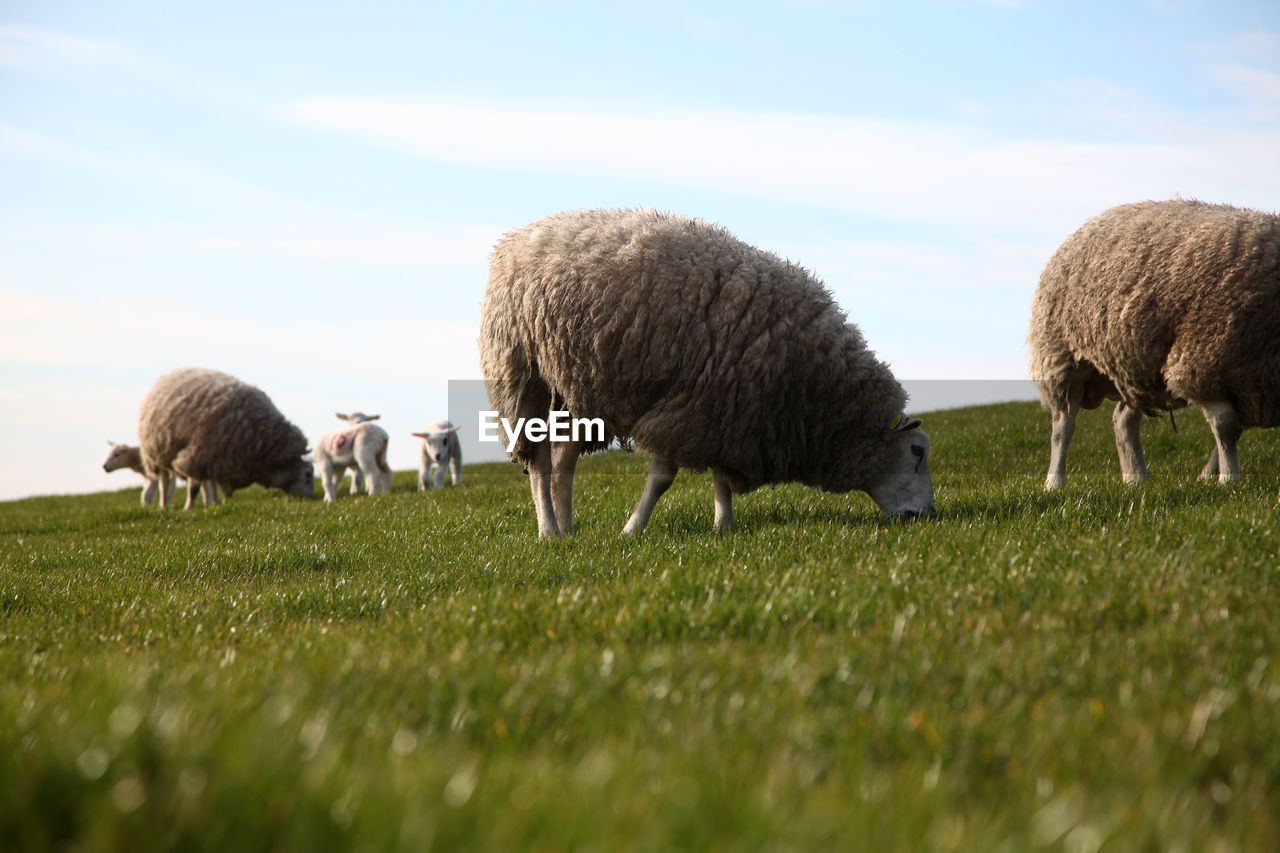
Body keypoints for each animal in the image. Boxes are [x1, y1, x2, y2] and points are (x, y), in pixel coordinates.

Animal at [136, 366, 314, 504]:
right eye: (307, 474)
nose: (310, 497)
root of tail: (171, 373)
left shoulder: (215, 459)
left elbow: (210, 485)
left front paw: (215, 504)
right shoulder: (195, 456)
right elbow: (193, 488)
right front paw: (190, 508)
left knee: (206, 483)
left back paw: (208, 503)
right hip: (156, 454)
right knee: (165, 482)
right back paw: (164, 505)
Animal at [476, 206, 936, 535]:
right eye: (917, 452)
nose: (927, 516)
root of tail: (516, 237)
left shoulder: (726, 414)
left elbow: (719, 477)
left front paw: (722, 526)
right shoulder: (692, 406)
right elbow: (663, 479)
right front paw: (632, 530)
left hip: (576, 385)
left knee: (564, 461)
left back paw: (569, 529)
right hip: (521, 371)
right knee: (539, 462)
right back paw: (549, 532)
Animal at [1029, 197, 1280, 489]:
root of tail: (1089, 222)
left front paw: (1209, 475)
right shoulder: (1205, 366)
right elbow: (1226, 428)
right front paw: (1228, 480)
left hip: (1133, 368)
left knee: (1122, 421)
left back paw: (1137, 479)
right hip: (1063, 357)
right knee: (1063, 426)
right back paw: (1054, 484)